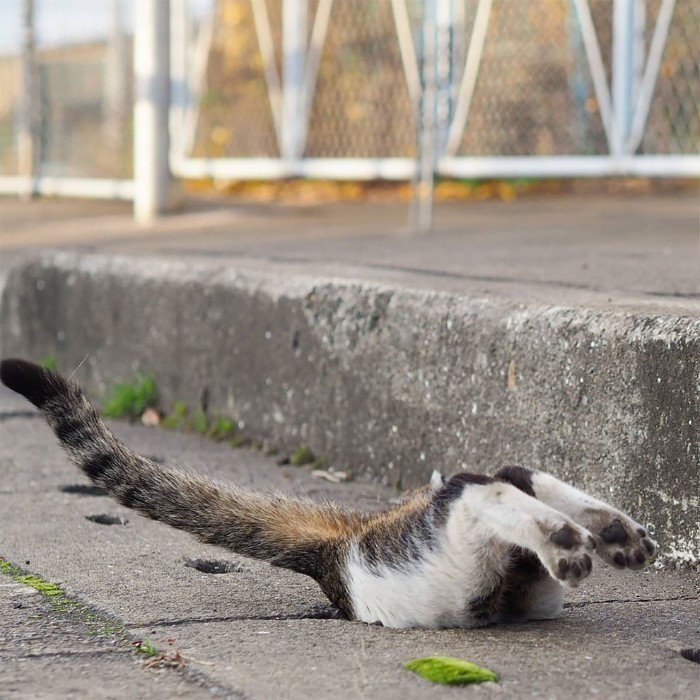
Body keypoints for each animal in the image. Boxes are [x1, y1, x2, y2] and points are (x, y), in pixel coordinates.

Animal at [0, 360, 656, 628]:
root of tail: (341, 552)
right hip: (478, 559)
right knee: (496, 481)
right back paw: (596, 537)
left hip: (469, 546)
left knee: (494, 482)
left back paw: (597, 536)